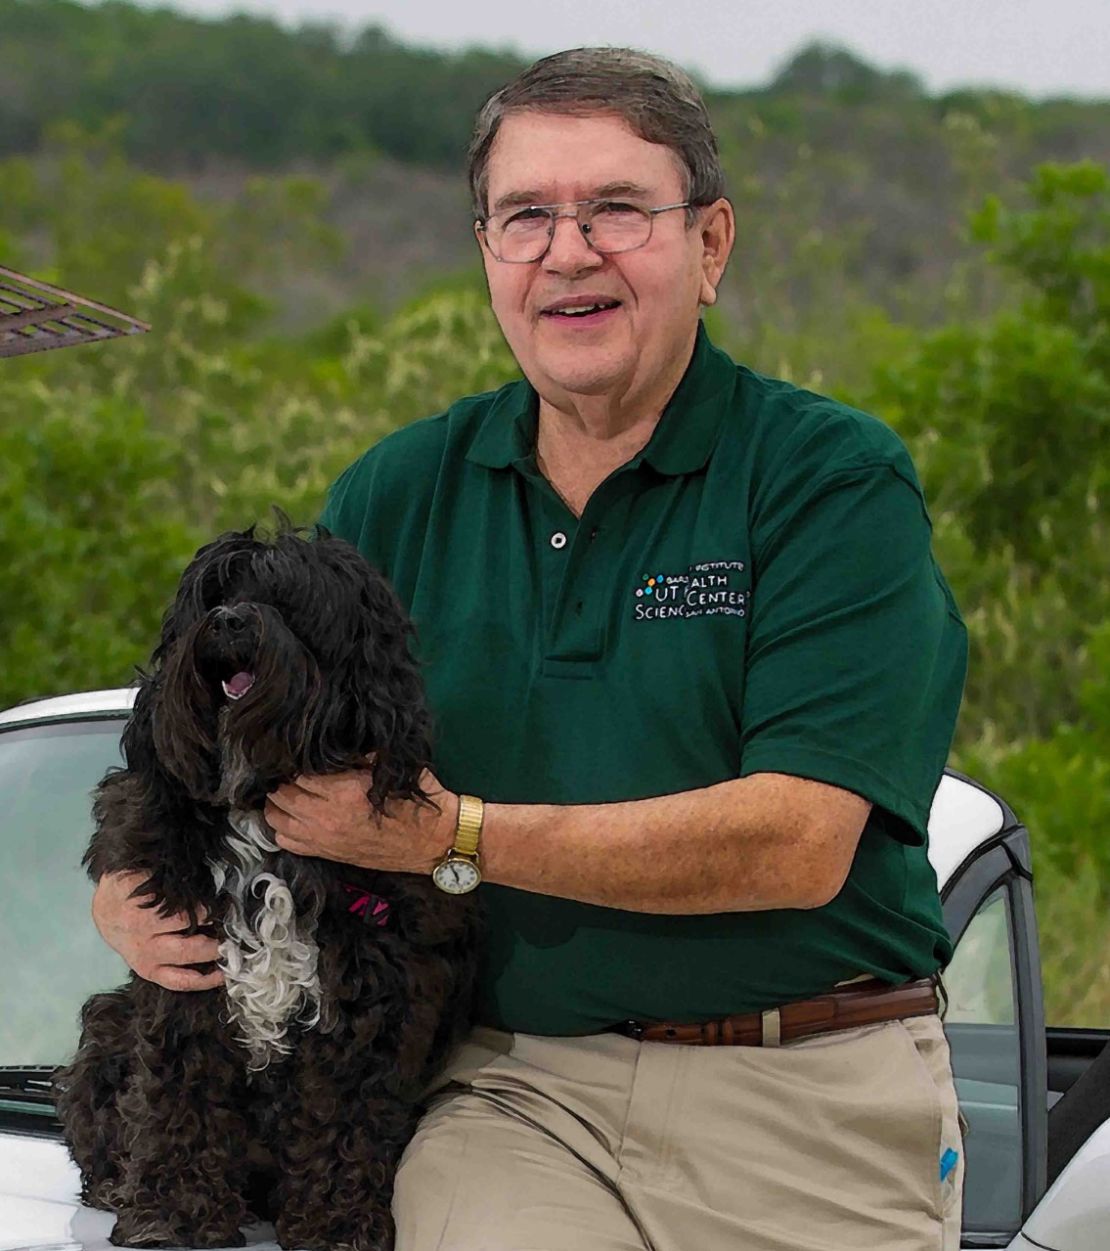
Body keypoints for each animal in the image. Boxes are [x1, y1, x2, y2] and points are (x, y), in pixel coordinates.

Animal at [54, 522, 483, 1245]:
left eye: (287, 598)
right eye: (213, 592)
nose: (229, 620)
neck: (256, 802)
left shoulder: (369, 996)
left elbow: (343, 1118)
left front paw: (336, 1221)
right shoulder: (182, 977)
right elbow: (180, 1098)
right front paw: (173, 1213)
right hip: (108, 1023)